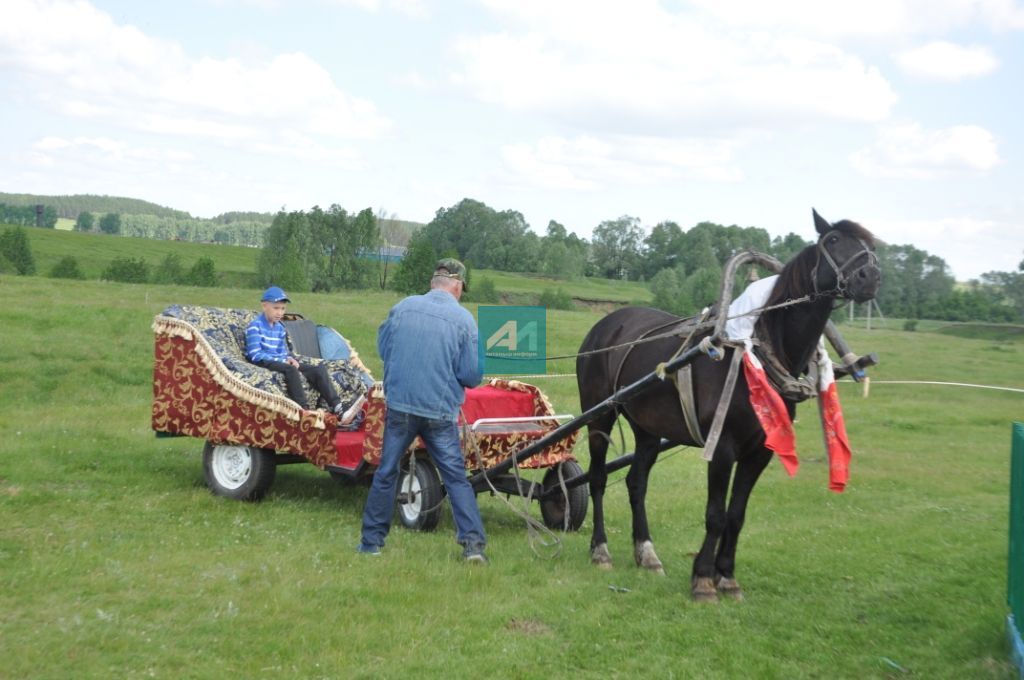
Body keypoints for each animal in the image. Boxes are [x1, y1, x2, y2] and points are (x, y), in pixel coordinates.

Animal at [577, 208, 880, 602]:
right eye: (832, 241)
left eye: (870, 245)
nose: (870, 275)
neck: (760, 352)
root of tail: (606, 325)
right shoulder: (721, 447)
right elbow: (716, 514)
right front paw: (704, 579)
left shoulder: (760, 451)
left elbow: (737, 514)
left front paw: (728, 576)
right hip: (600, 414)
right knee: (598, 478)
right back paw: (600, 550)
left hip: (647, 428)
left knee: (636, 483)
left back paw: (646, 552)